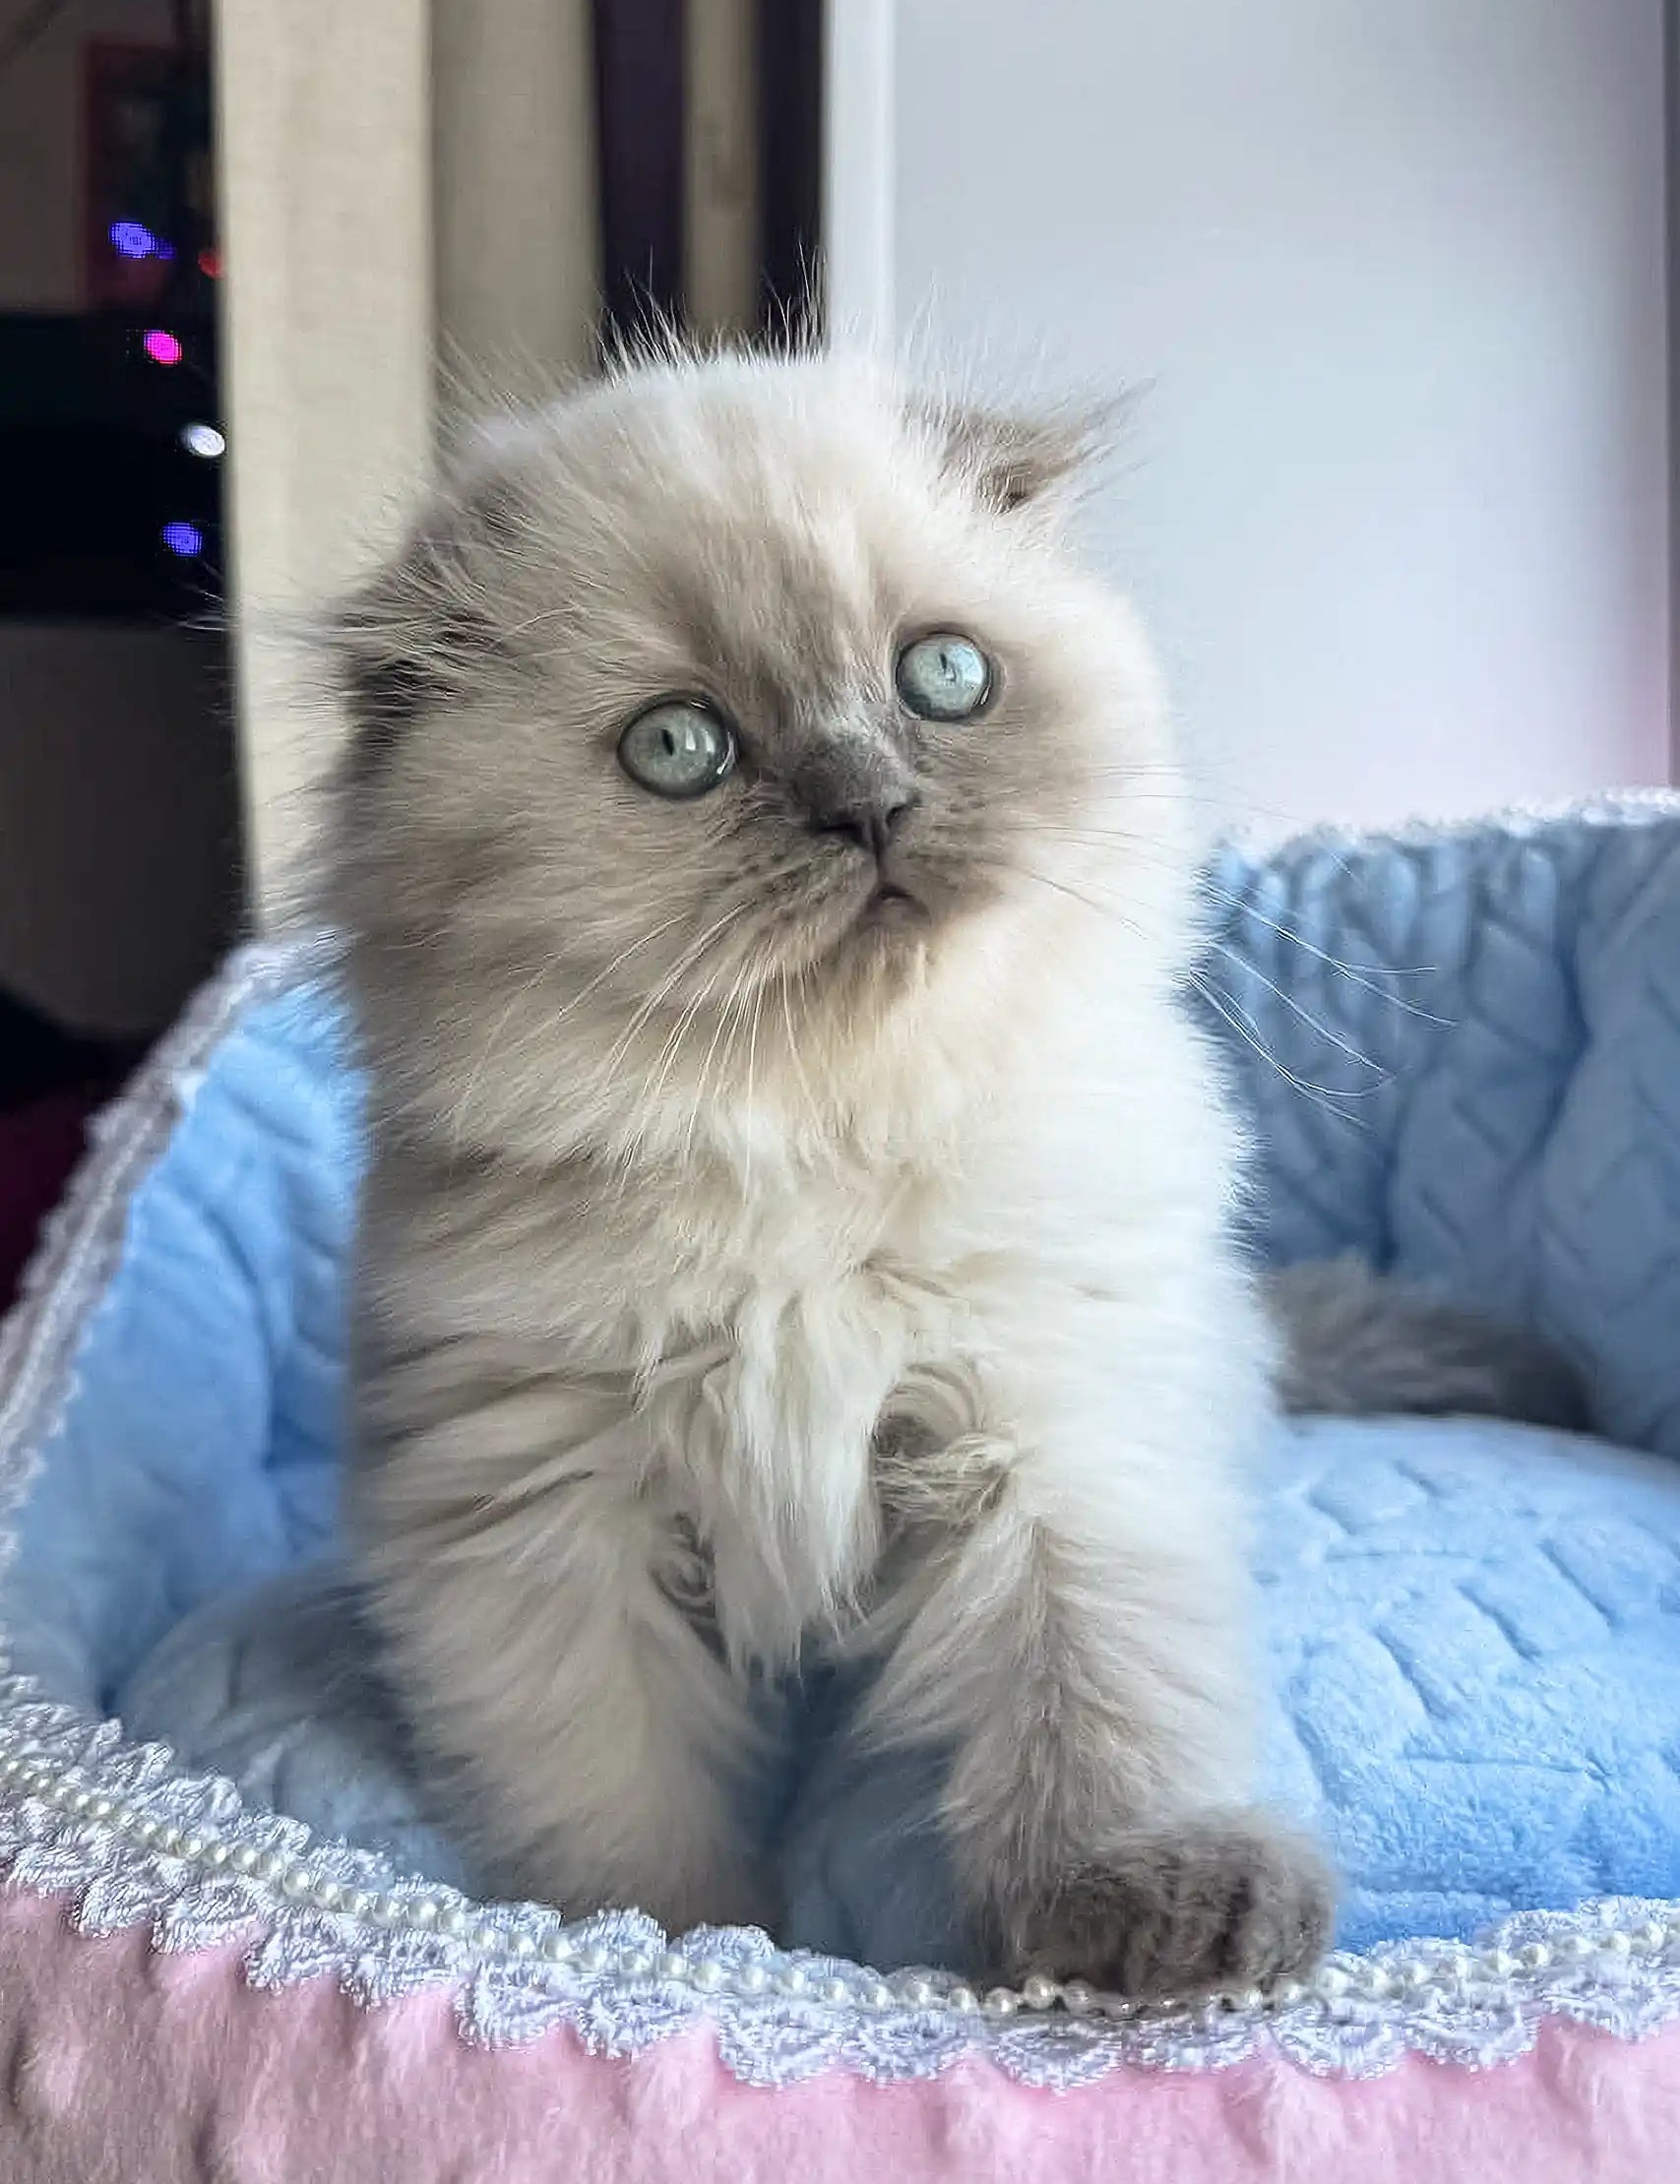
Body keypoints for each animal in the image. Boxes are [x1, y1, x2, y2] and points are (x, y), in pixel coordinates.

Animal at [321, 344, 1328, 2000]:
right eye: (679, 749)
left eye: (944, 678)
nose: (866, 805)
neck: (806, 1143)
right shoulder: (542, 1525)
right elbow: (618, 1819)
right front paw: (680, 1952)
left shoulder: (1050, 1442)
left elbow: (1099, 1700)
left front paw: (1151, 1911)